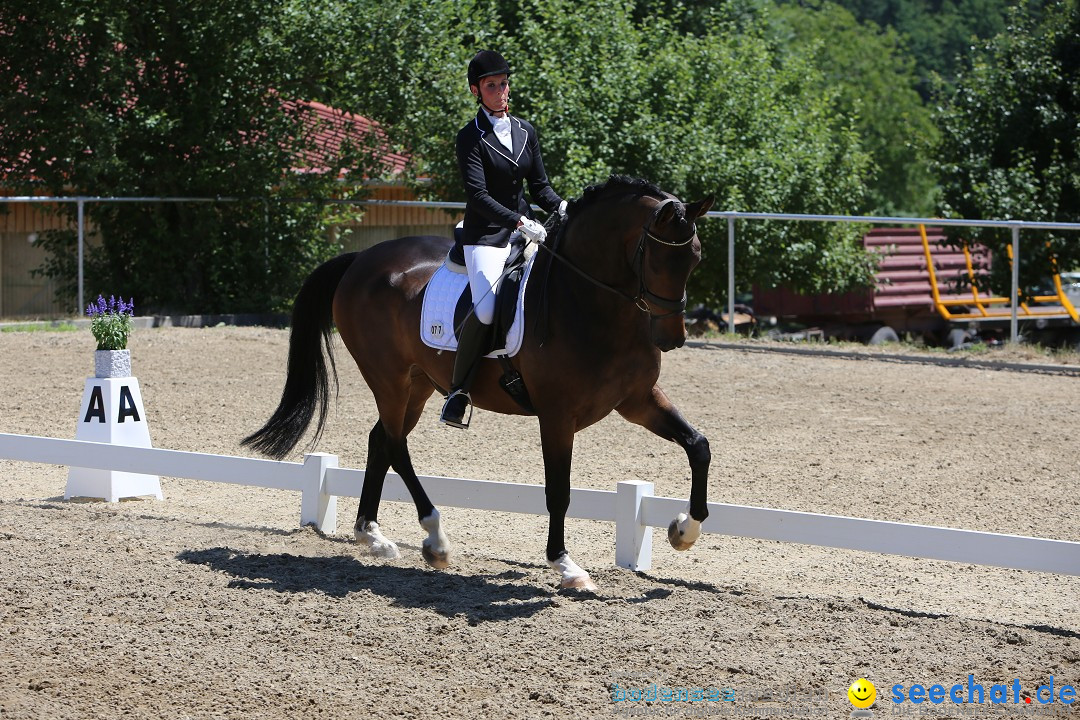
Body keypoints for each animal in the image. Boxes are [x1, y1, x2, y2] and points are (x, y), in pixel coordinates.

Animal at [246, 175, 717, 591]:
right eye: (656, 259)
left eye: (695, 257)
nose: (672, 337)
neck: (592, 303)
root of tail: (361, 259)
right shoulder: (557, 415)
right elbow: (559, 491)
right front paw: (566, 566)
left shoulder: (638, 400)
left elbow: (698, 446)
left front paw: (683, 530)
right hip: (389, 378)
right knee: (396, 445)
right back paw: (435, 540)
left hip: (416, 384)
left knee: (381, 440)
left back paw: (374, 536)